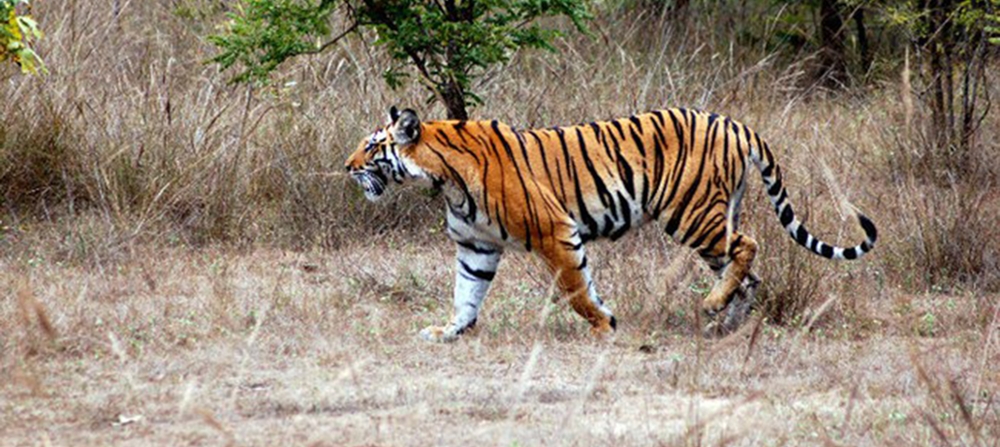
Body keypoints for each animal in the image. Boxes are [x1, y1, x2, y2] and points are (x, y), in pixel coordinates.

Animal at [344, 106, 876, 344]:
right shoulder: (476, 247)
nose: (348, 167)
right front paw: (450, 330)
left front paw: (604, 324)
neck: (444, 178)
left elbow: (576, 289)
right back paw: (725, 321)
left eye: (372, 146)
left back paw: (714, 306)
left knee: (750, 246)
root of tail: (731, 121)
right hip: (714, 218)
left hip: (692, 214)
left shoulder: (554, 231)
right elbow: (466, 293)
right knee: (748, 273)